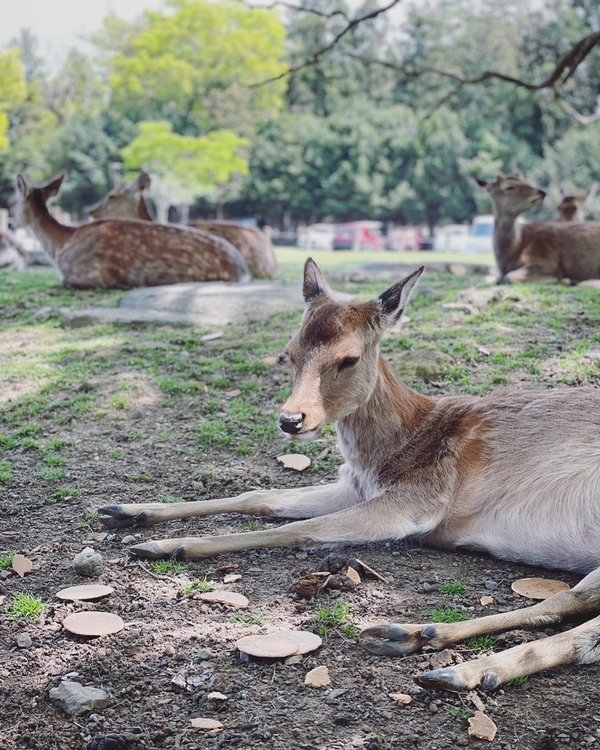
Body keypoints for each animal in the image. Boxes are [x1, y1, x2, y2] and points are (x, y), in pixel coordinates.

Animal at [15, 175, 248, 290]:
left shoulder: (89, 275)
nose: (15, 221)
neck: (60, 244)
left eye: (15, 201)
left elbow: (64, 282)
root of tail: (244, 270)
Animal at [99, 258, 600, 692]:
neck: (400, 442)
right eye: (289, 352)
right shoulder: (353, 485)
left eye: (349, 359)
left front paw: (168, 546)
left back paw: (463, 671)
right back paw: (409, 636)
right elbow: (259, 495)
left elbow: (303, 529)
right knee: (569, 602)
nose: (291, 419)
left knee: (584, 633)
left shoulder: (420, 498)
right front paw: (124, 512)